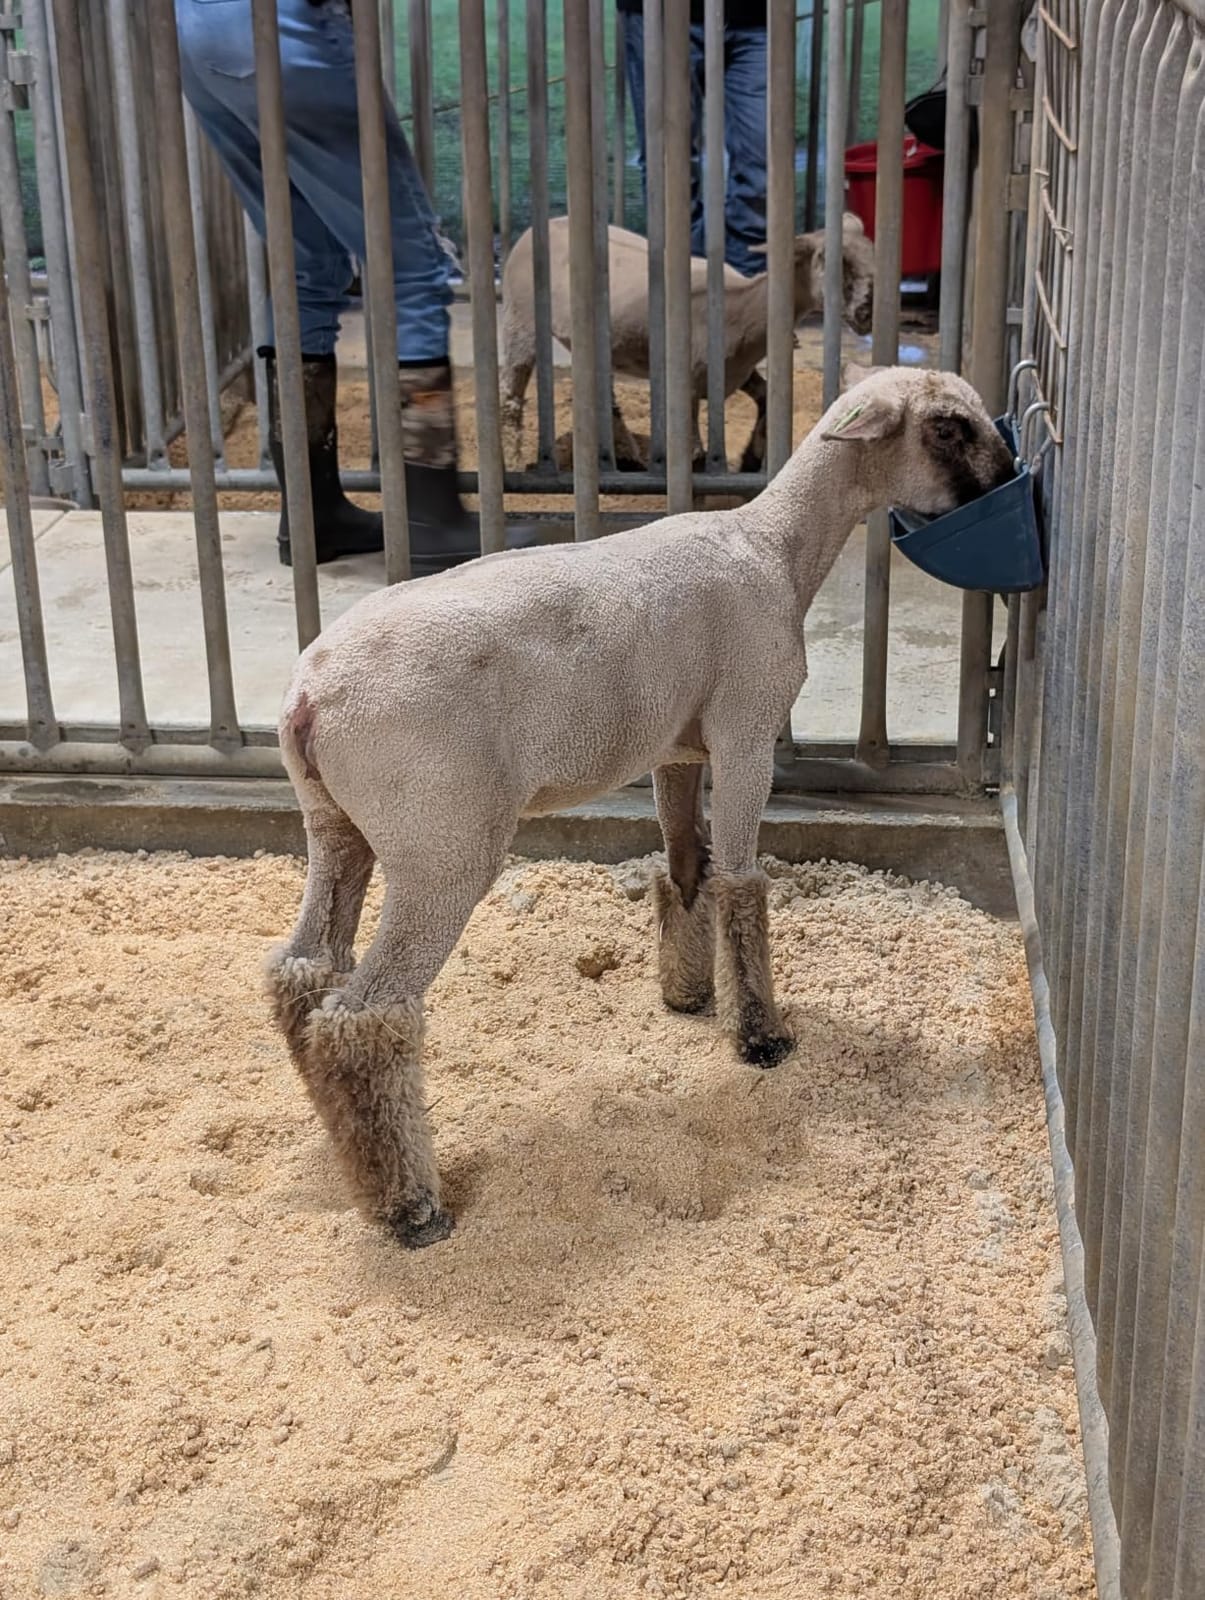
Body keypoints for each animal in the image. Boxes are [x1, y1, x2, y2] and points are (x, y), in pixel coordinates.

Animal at [266, 367, 1014, 1250]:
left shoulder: (676, 749)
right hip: (439, 843)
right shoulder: (744, 730)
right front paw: (759, 1037)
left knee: (302, 972)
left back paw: (348, 1152)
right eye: (948, 426)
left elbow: (686, 868)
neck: (774, 548)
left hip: (335, 825)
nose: (1006, 480)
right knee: (364, 1015)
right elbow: (740, 885)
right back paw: (410, 1208)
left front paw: (688, 996)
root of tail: (308, 698)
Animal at [499, 214, 876, 475]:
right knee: (512, 390)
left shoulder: (737, 373)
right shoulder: (690, 386)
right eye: (827, 259)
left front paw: (751, 459)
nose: (866, 312)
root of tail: (538, 227)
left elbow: (766, 400)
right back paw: (516, 460)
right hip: (521, 315)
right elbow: (694, 456)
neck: (742, 308)